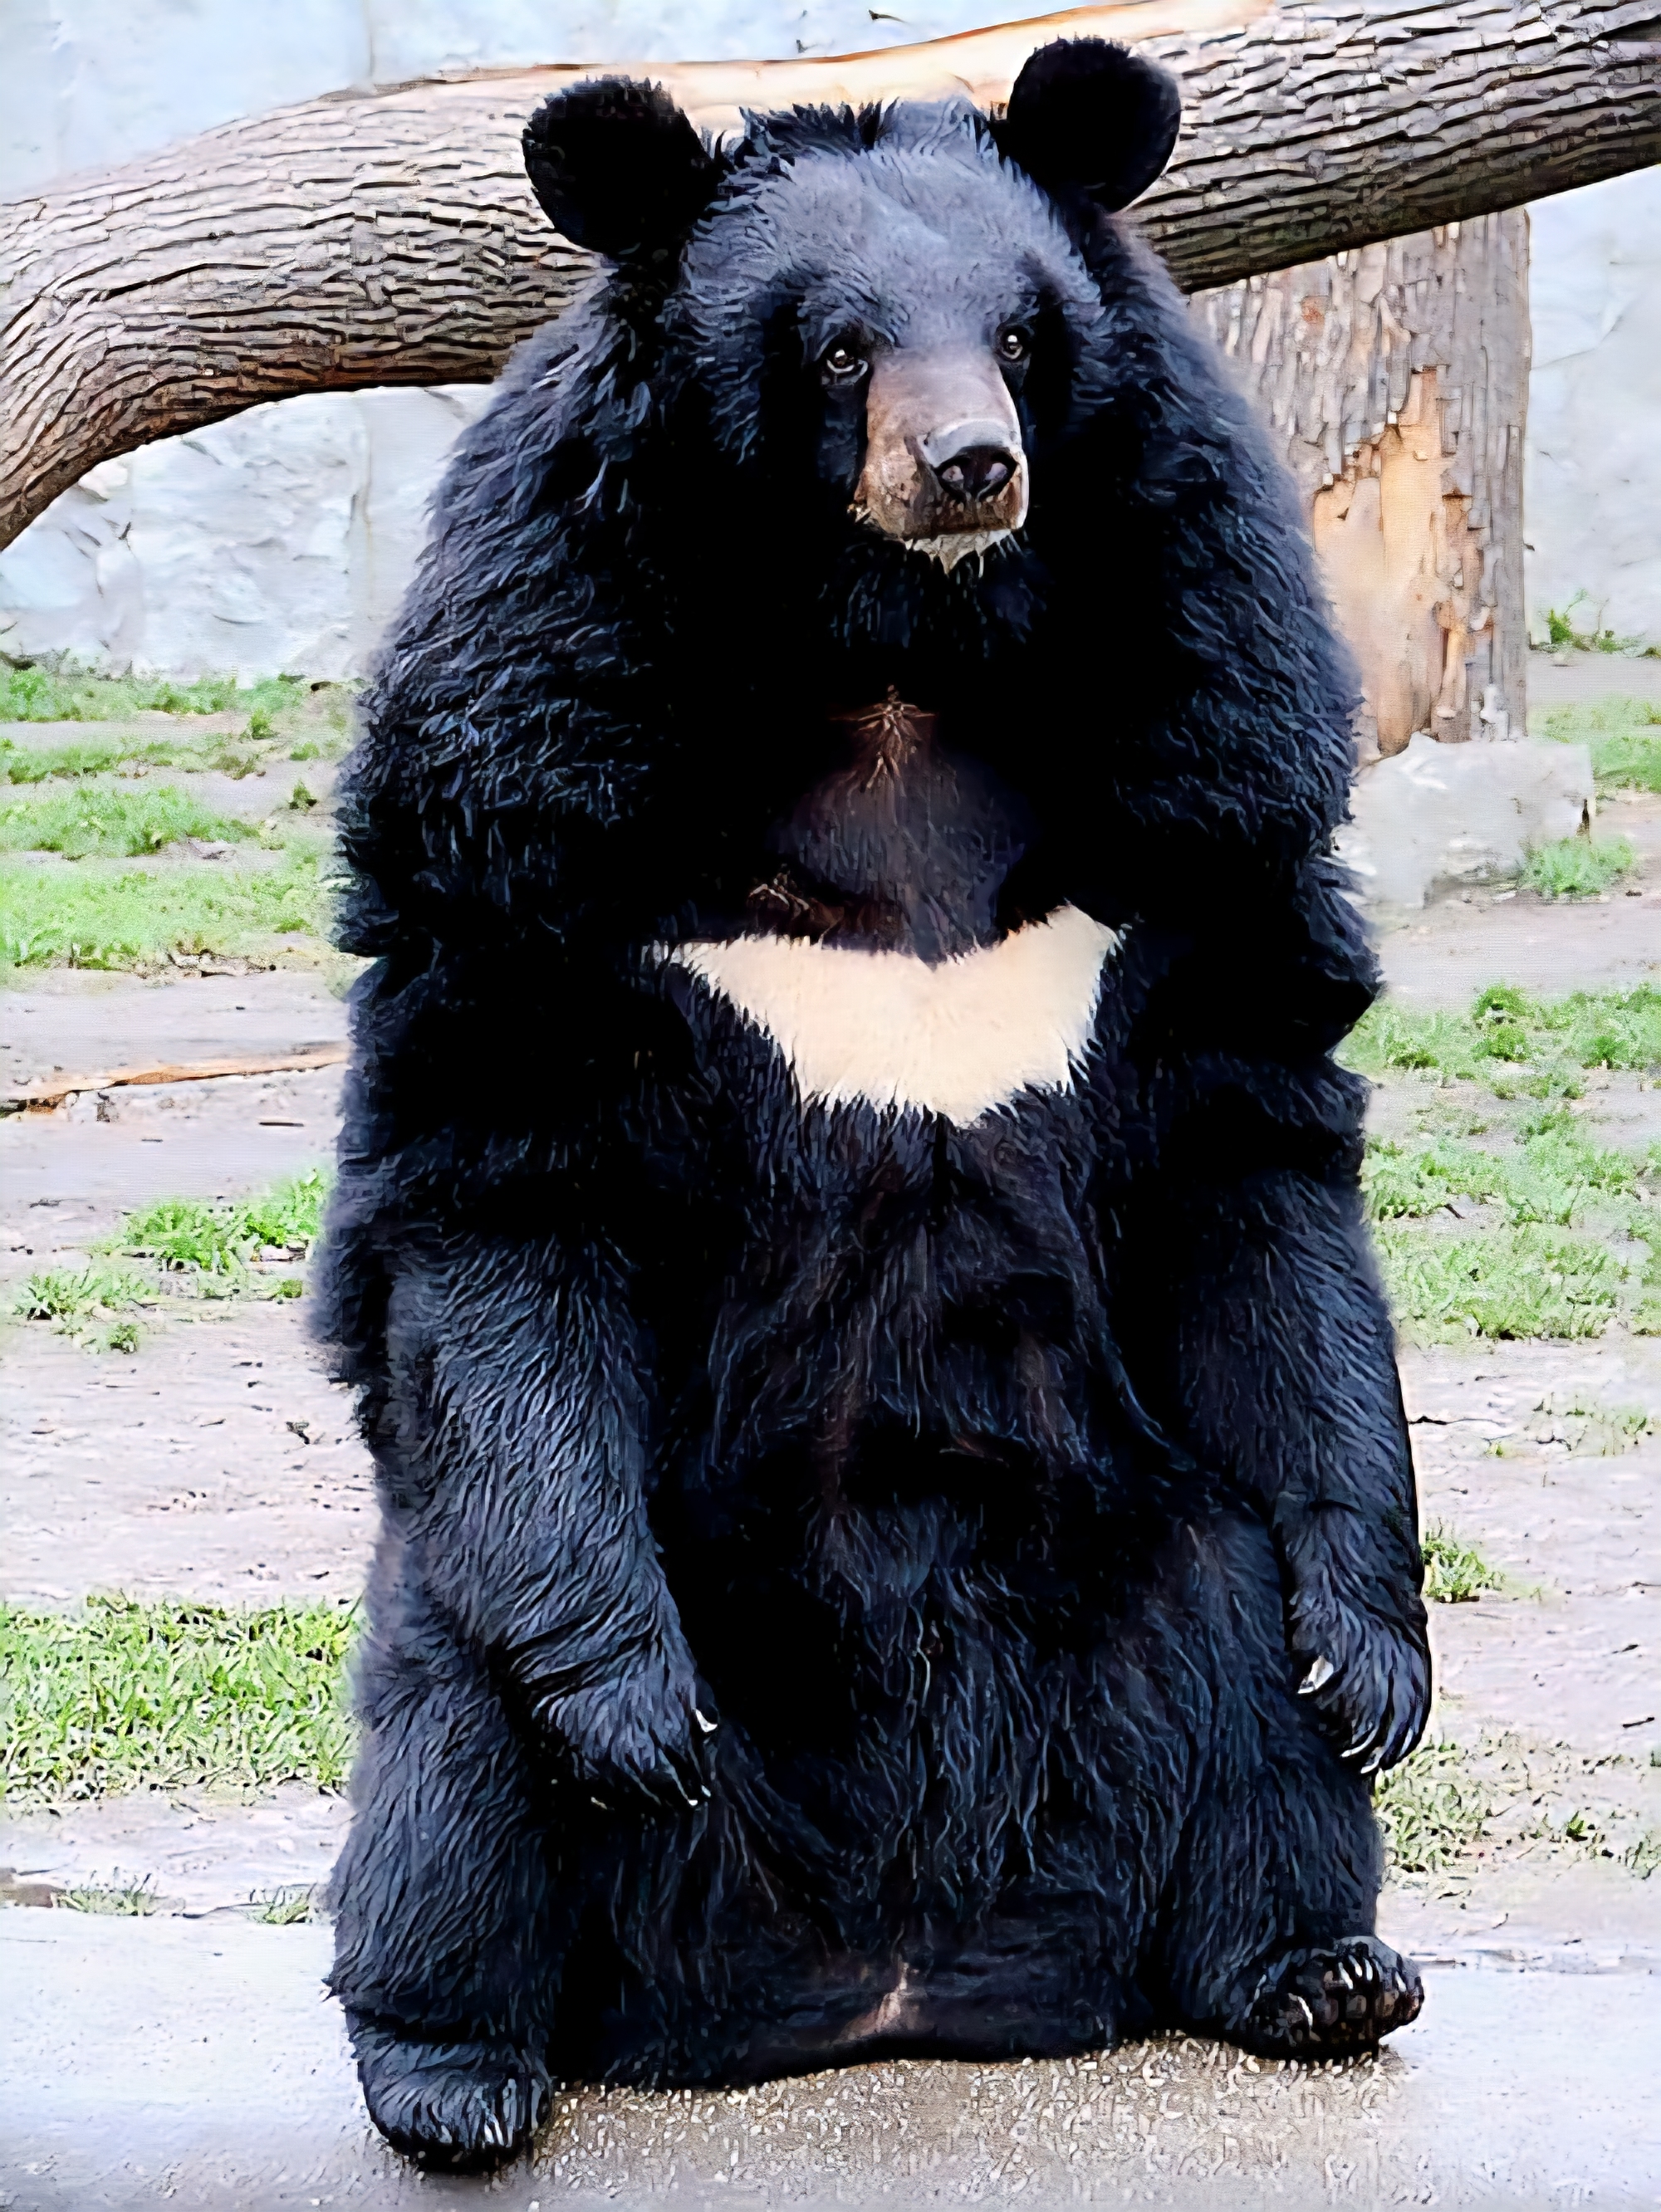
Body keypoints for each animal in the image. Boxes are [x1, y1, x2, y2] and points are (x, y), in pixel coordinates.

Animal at [319, 38, 1433, 2174]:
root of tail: (881, 1979)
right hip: (493, 1581)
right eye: (839, 347)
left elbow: (1247, 1144)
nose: (972, 468)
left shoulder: (1207, 722)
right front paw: (631, 1724)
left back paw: (1315, 1967)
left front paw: (1378, 1660)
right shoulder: (530, 737)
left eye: (1018, 335)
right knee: (452, 1762)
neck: (897, 653)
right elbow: (507, 1162)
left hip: (1147, 1544)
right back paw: (457, 2068)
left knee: (1245, 1681)